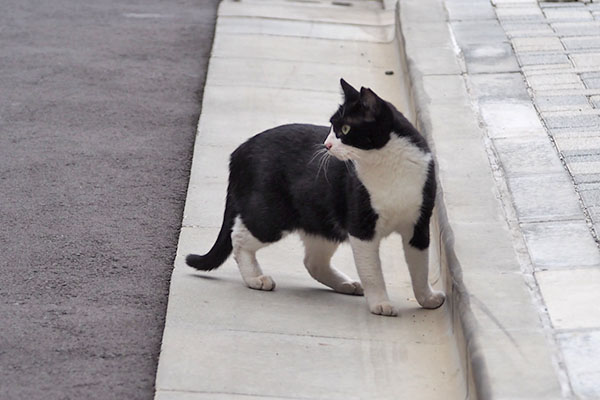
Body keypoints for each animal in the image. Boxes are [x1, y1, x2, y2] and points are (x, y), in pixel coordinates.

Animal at [188, 78, 446, 316]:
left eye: (345, 129)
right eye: (332, 126)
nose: (327, 144)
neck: (388, 166)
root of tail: (240, 150)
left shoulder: (418, 226)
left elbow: (420, 269)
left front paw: (428, 299)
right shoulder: (361, 228)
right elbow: (372, 271)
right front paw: (380, 303)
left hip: (322, 222)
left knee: (313, 262)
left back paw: (345, 284)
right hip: (272, 217)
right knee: (239, 237)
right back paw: (256, 278)